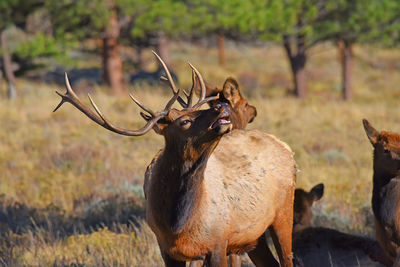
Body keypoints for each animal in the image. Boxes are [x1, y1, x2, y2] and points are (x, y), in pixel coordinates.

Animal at [53, 52, 296, 267]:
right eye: (184, 121)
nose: (222, 107)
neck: (177, 223)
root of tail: (286, 148)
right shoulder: (170, 250)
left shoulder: (219, 242)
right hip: (254, 236)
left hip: (283, 214)